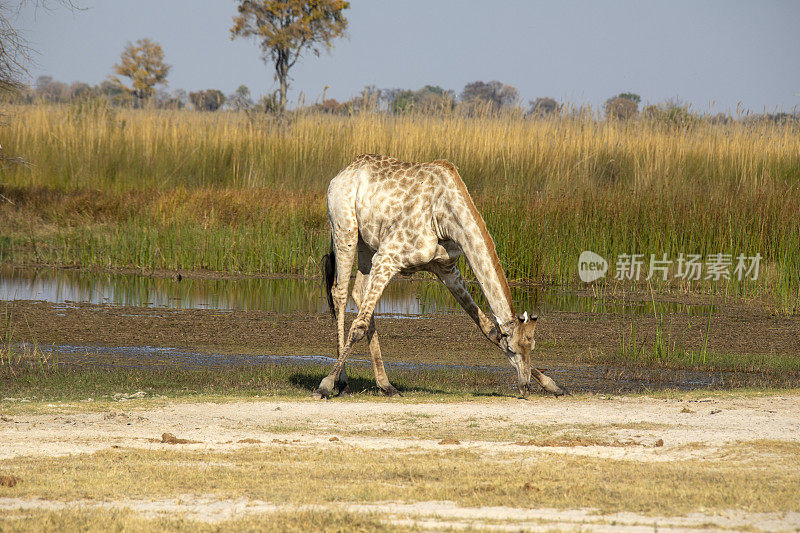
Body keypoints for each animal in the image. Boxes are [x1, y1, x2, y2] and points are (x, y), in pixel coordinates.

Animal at [314, 152, 568, 396]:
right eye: (512, 349)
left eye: (532, 347)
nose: (525, 387)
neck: (445, 216)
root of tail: (342, 173)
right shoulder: (388, 257)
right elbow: (358, 326)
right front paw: (325, 384)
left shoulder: (447, 269)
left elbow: (488, 328)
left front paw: (553, 385)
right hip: (345, 229)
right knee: (340, 293)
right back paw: (342, 382)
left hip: (367, 244)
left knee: (359, 292)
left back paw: (386, 385)